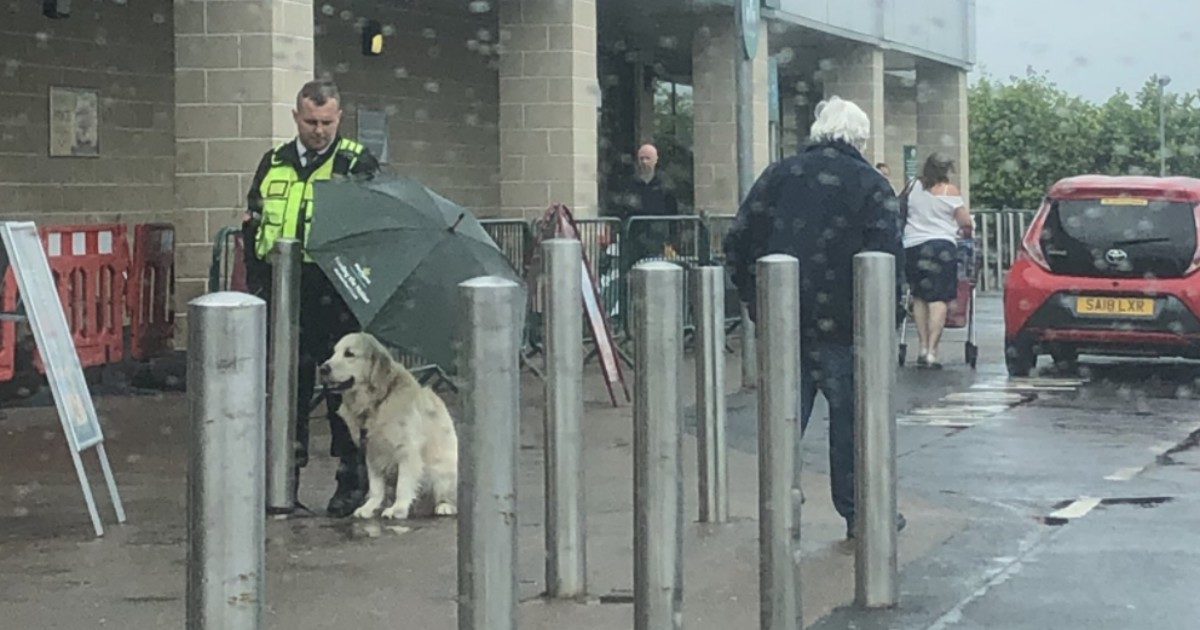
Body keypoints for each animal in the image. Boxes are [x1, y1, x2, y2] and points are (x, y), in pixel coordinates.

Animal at [319, 331, 458, 518]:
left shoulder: (407, 450)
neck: (377, 402)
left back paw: (445, 506)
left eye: (349, 354)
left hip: (442, 471)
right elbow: (376, 486)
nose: (323, 368)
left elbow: (403, 484)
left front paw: (397, 508)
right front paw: (369, 507)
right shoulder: (372, 451)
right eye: (333, 353)